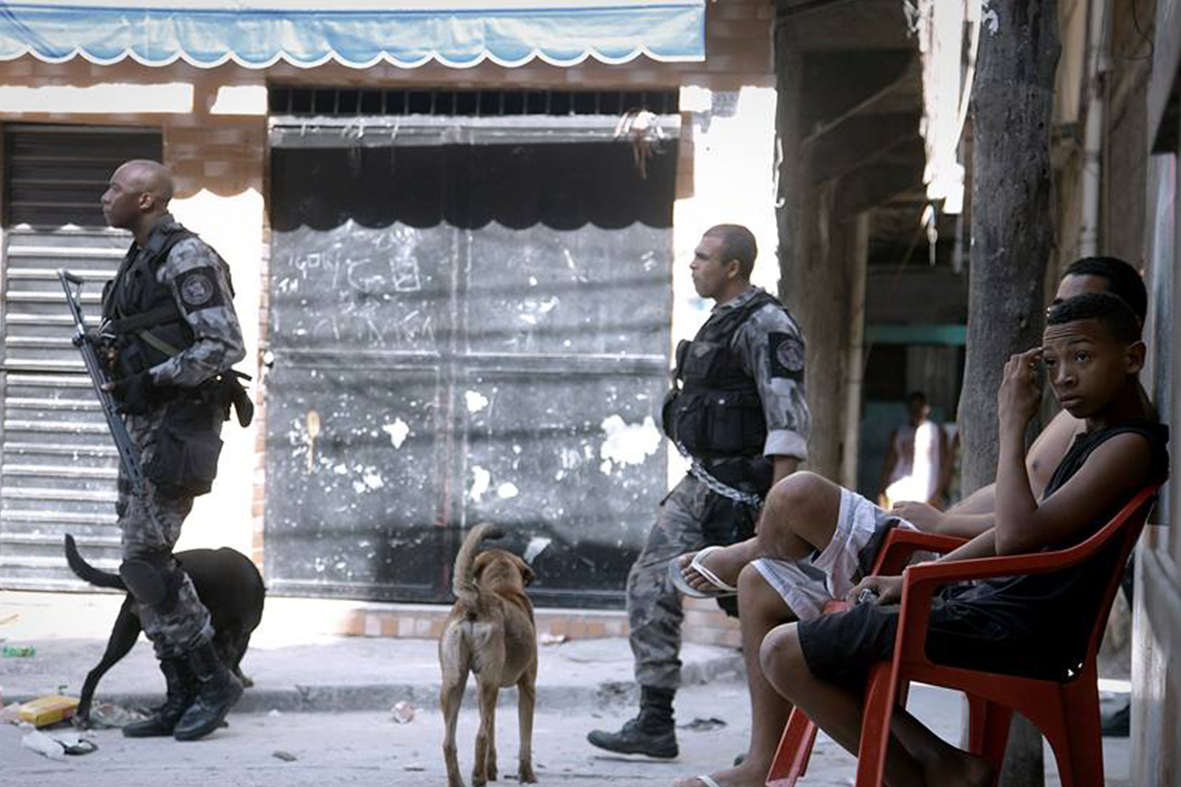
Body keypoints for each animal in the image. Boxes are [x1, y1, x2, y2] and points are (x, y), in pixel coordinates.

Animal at [67, 529, 268, 727]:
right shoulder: (237, 637)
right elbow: (230, 664)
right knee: (96, 672)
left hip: (126, 634)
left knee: (94, 672)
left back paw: (83, 715)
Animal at [439, 519, 540, 784]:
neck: (502, 586)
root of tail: (475, 601)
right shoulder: (528, 686)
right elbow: (525, 738)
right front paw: (527, 774)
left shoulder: (481, 687)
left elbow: (493, 728)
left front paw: (492, 768)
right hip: (488, 682)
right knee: (481, 735)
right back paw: (478, 778)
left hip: (455, 682)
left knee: (449, 741)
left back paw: (459, 780)